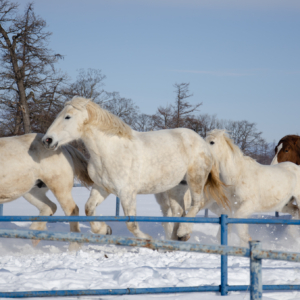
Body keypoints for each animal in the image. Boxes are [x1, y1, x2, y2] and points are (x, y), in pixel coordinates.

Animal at [43, 97, 229, 240]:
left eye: (67, 117)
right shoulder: (102, 188)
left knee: (196, 204)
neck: (110, 151)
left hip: (195, 179)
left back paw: (183, 232)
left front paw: (147, 239)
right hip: (177, 187)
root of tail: (202, 142)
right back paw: (177, 238)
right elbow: (89, 208)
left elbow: (131, 223)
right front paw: (105, 229)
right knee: (178, 212)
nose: (48, 140)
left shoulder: (127, 193)